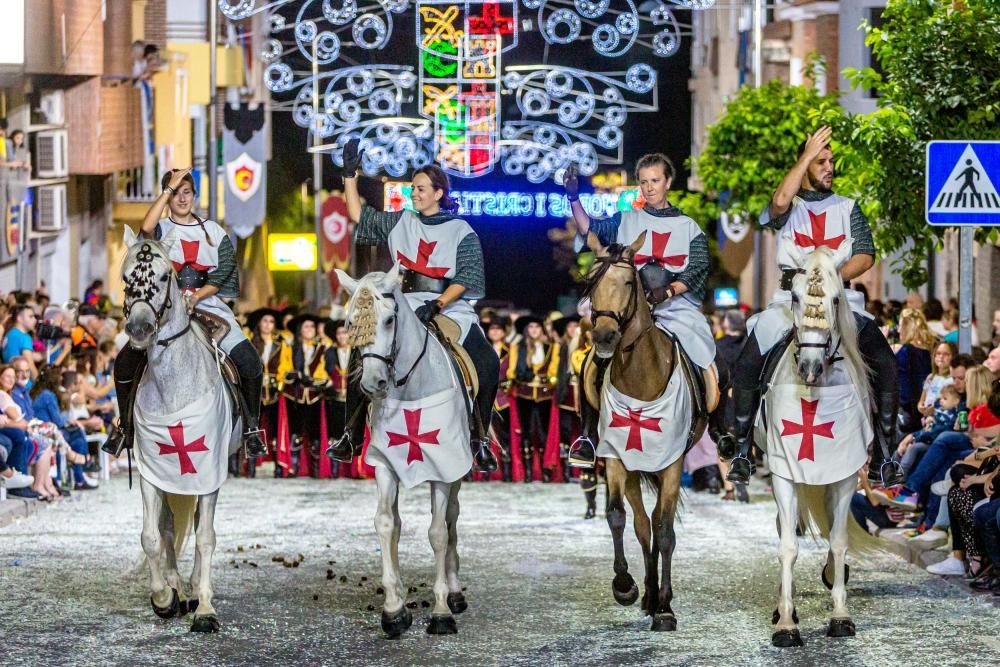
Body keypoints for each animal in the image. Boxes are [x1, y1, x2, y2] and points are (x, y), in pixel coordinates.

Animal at [119, 227, 238, 636]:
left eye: (164, 276)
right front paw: (163, 597)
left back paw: (193, 587)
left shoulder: (210, 474)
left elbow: (205, 538)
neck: (174, 386)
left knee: (199, 527)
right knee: (169, 528)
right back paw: (177, 588)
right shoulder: (151, 473)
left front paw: (206, 609)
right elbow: (151, 536)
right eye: (126, 279)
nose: (140, 330)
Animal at [336, 268, 472, 640]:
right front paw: (394, 610)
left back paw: (454, 593)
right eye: (351, 323)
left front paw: (440, 612)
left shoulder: (444, 468)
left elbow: (438, 532)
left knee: (451, 518)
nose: (373, 384)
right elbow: (387, 525)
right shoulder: (385, 465)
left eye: (389, 319)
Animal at [580, 232, 712, 636]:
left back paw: (658, 600)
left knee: (655, 523)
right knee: (641, 524)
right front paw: (625, 586)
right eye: (590, 283)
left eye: (627, 282)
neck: (642, 375)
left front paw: (666, 608)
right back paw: (647, 595)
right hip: (635, 469)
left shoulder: (671, 464)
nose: (605, 336)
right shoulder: (616, 458)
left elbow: (665, 530)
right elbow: (617, 516)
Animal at [760, 248, 880, 648]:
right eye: (795, 298)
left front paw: (841, 616)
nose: (810, 368)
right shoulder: (784, 473)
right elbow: (787, 546)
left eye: (836, 300)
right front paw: (786, 622)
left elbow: (839, 541)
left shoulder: (844, 476)